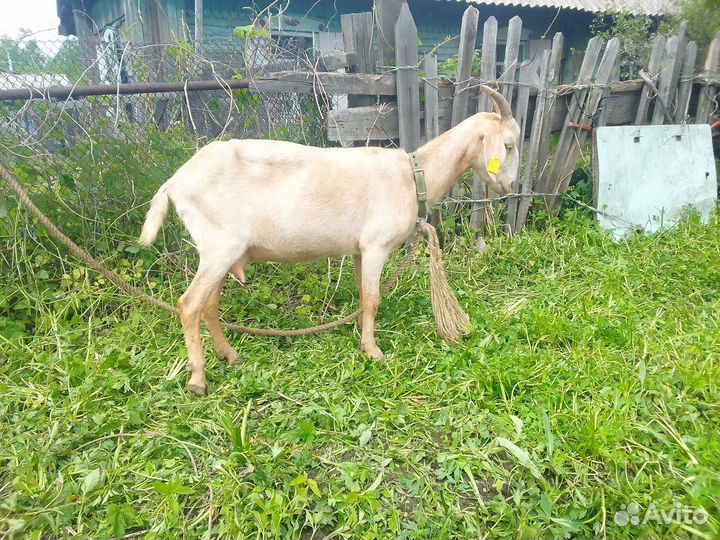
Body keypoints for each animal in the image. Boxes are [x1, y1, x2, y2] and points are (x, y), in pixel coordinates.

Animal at [139, 86, 520, 395]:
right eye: (509, 144)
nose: (510, 186)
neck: (413, 175)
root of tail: (175, 182)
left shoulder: (359, 251)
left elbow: (363, 296)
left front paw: (363, 338)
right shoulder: (376, 245)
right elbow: (372, 299)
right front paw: (374, 351)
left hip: (220, 251)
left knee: (209, 306)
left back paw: (230, 356)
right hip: (220, 246)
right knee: (189, 305)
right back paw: (198, 379)